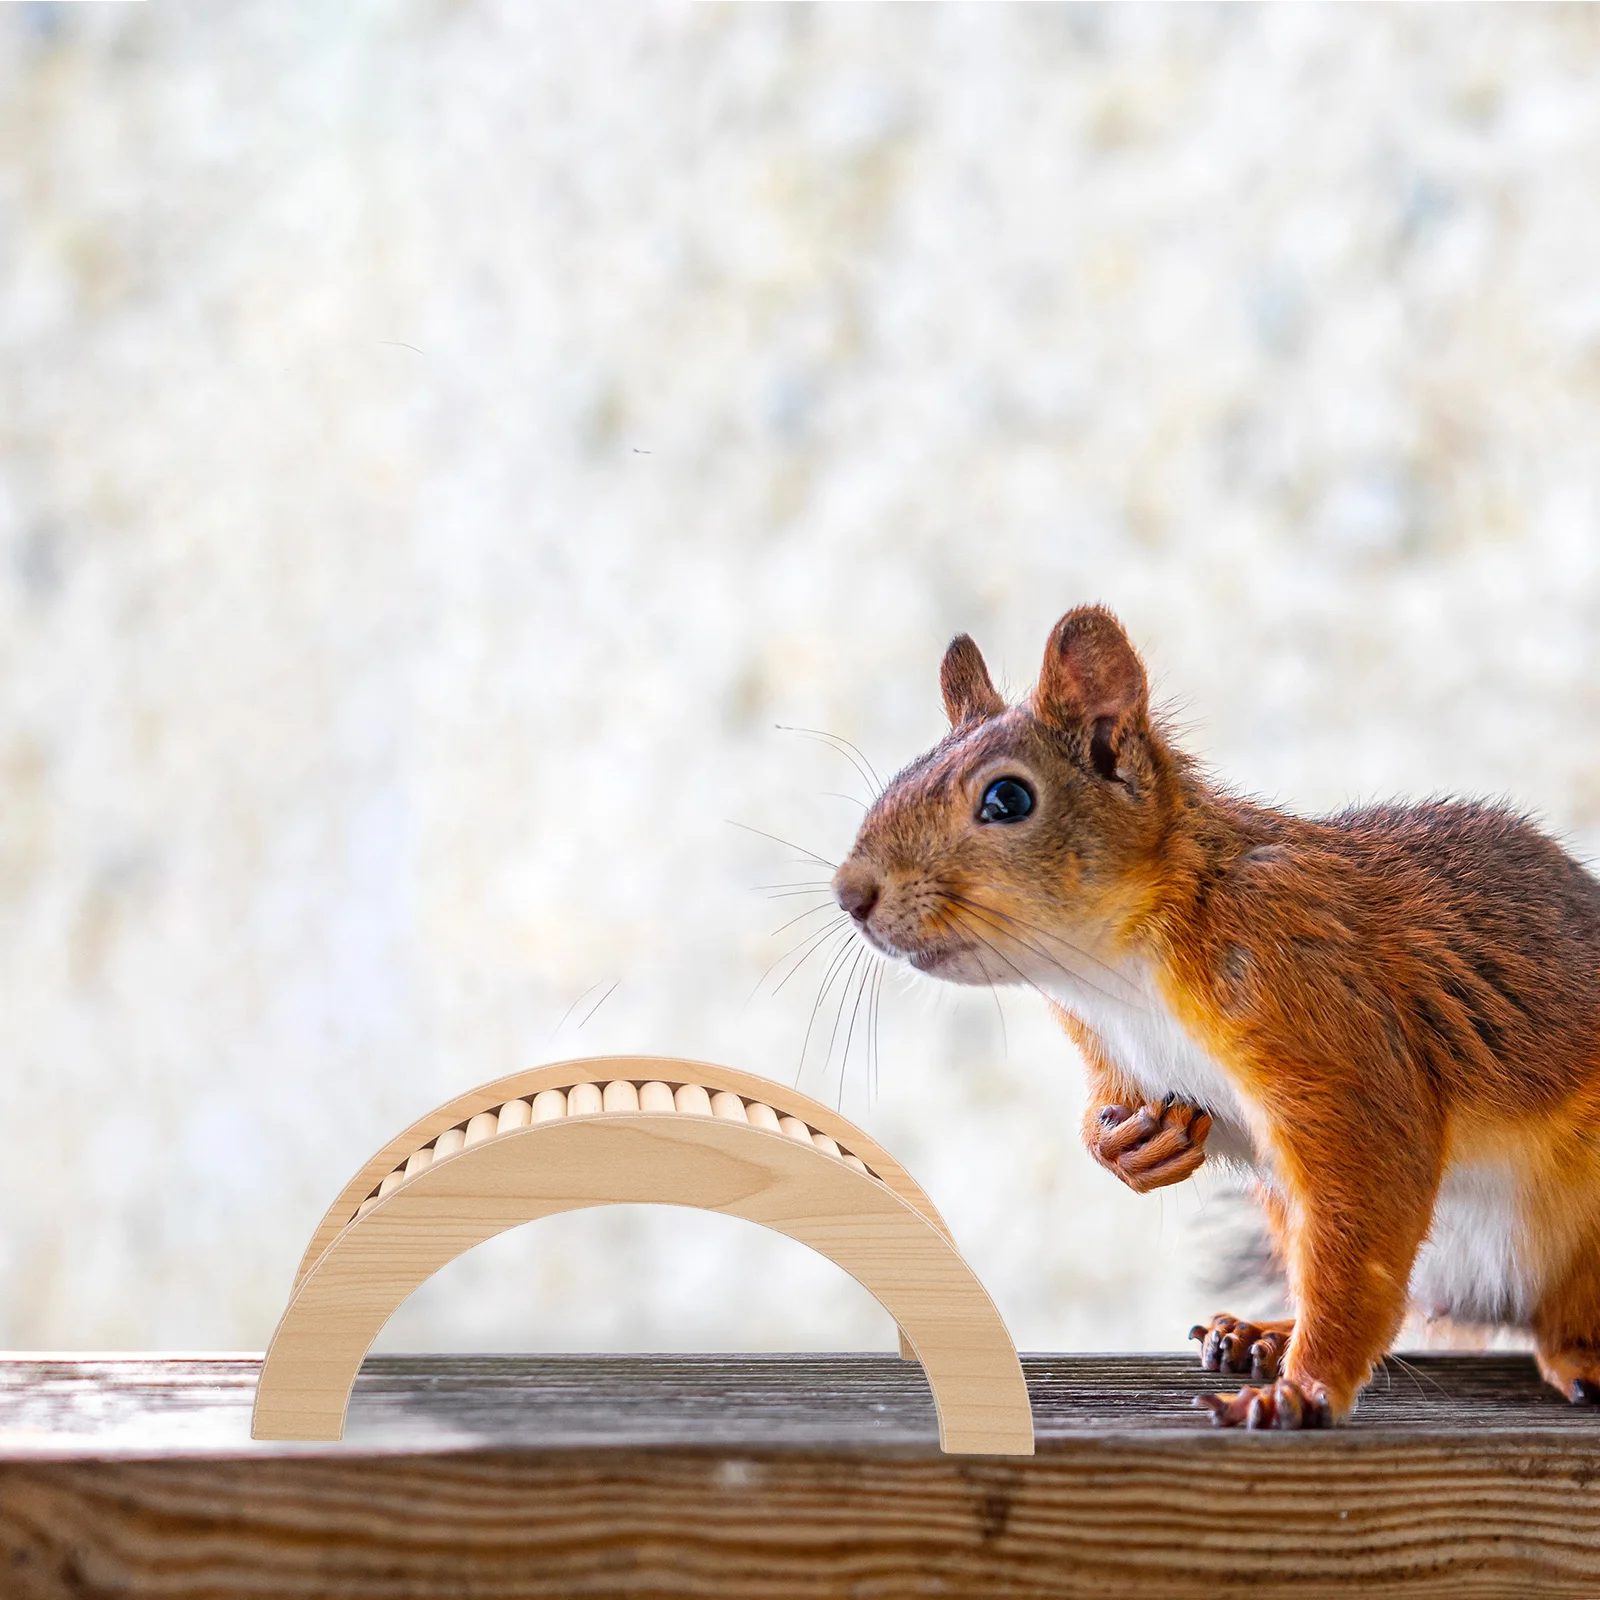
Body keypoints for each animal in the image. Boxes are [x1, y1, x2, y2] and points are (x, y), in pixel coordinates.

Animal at [832, 608, 1600, 1427]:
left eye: (1007, 800)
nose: (850, 893)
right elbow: (1113, 1110)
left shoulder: (1321, 1015)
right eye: (901, 777)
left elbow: (1365, 1206)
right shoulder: (1112, 1049)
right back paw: (1263, 1333)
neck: (1118, 972)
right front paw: (1127, 1146)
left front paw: (1304, 1390)